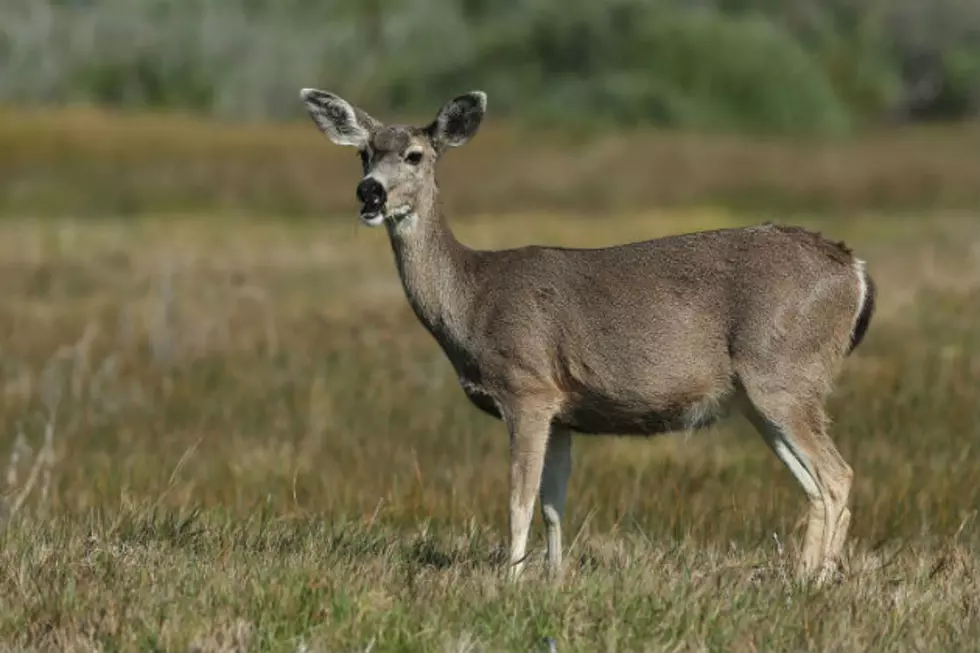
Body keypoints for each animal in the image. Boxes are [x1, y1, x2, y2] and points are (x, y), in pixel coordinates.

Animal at [300, 85, 880, 580]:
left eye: (416, 155)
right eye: (364, 153)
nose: (369, 193)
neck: (471, 301)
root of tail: (855, 271)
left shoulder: (527, 387)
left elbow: (519, 499)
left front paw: (510, 581)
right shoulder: (564, 411)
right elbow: (554, 504)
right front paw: (554, 578)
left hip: (784, 371)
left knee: (838, 475)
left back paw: (816, 580)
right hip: (760, 397)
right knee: (815, 484)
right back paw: (805, 575)